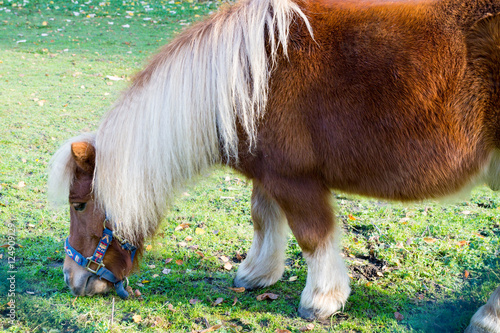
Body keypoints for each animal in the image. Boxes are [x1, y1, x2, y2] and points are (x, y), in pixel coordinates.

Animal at [48, 0, 500, 328]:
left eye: (80, 205)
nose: (72, 279)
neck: (246, 81)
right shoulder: (268, 173)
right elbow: (262, 218)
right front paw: (256, 275)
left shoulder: (296, 180)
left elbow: (313, 237)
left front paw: (321, 301)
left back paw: (488, 318)